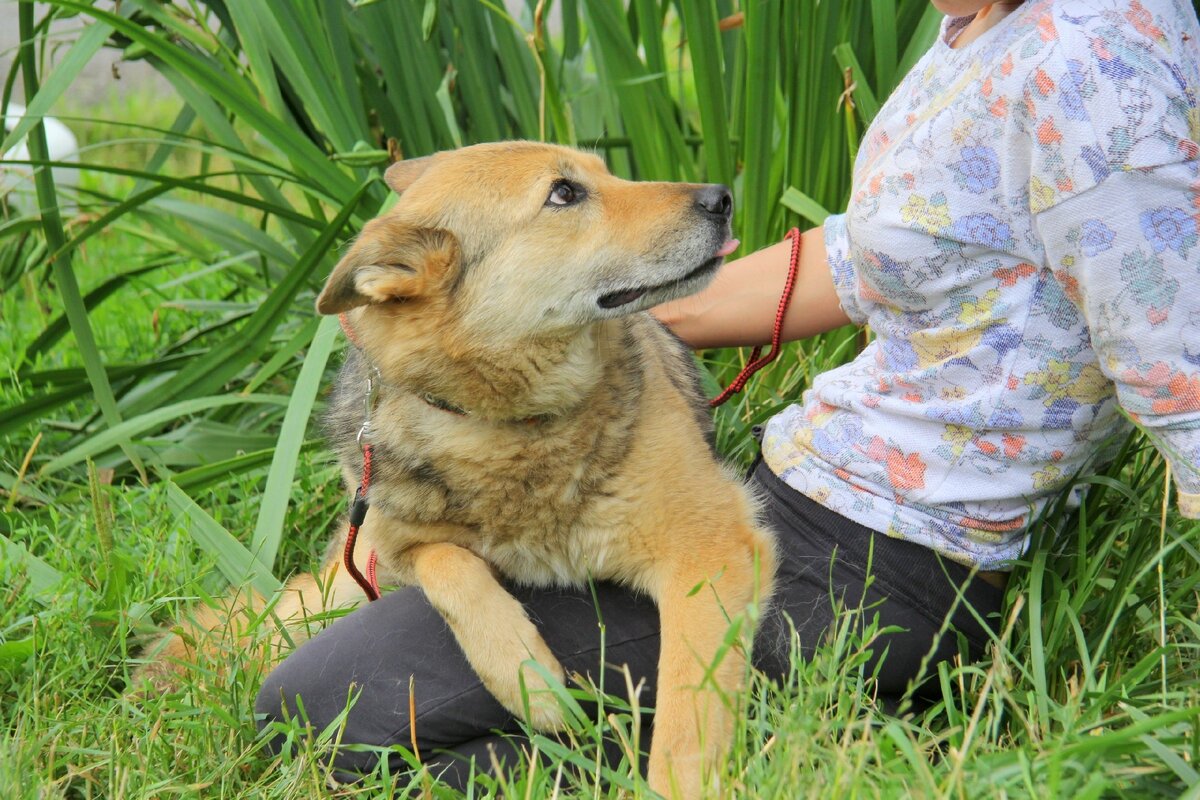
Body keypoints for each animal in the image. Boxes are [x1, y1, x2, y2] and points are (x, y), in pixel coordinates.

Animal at [138, 140, 777, 796]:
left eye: (603, 172)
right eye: (564, 193)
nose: (722, 199)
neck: (505, 425)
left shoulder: (708, 550)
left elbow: (687, 711)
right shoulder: (391, 546)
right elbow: (449, 565)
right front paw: (528, 676)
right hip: (342, 585)